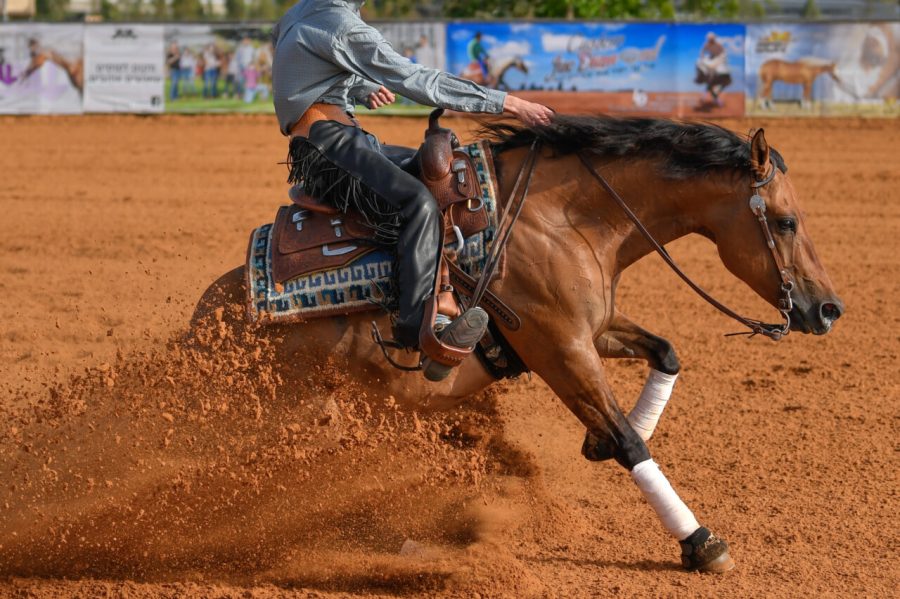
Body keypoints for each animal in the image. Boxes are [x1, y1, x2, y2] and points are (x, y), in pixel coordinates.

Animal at [192, 116, 844, 572]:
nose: (828, 309)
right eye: (785, 221)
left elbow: (665, 353)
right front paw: (700, 542)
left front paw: (597, 441)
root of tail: (203, 322)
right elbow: (631, 443)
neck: (564, 219)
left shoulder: (592, 330)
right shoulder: (560, 348)